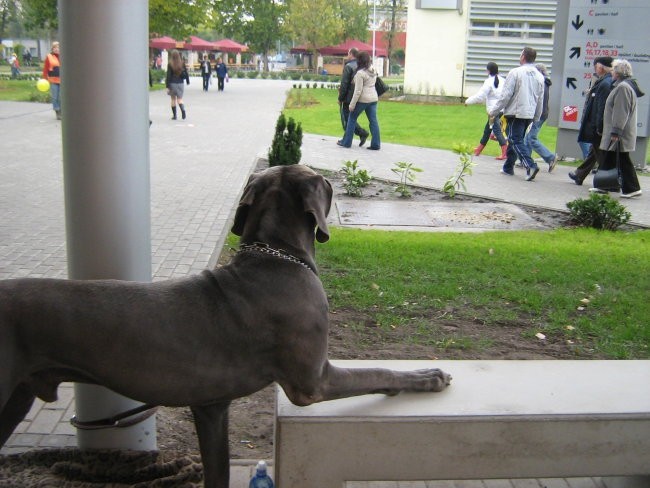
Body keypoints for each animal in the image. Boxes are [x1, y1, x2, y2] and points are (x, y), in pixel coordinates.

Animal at [0, 165, 450, 488]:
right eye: (324, 184)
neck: (274, 257)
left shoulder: (211, 407)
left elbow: (217, 469)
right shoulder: (312, 382)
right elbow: (378, 371)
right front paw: (427, 375)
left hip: (16, 398)